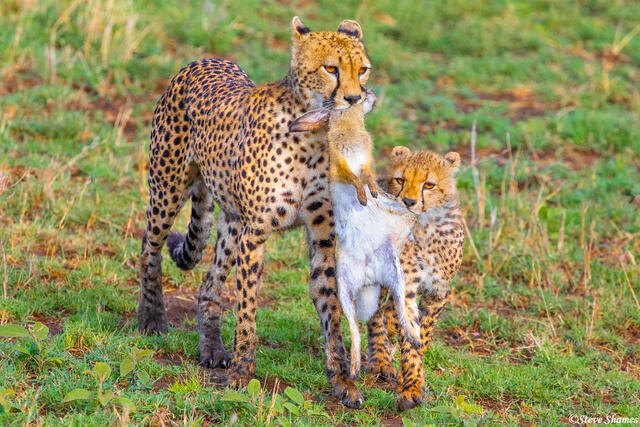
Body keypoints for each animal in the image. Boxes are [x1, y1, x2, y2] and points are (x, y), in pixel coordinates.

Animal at [136, 16, 372, 408]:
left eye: (363, 69)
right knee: (148, 248)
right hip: (167, 191)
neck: (311, 135)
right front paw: (243, 375)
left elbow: (330, 307)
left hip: (231, 222)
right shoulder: (256, 233)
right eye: (331, 68)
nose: (355, 98)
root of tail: (205, 59)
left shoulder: (322, 235)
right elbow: (247, 308)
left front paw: (341, 379)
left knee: (209, 283)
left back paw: (212, 348)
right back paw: (151, 318)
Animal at [365, 146, 465, 411]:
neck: (426, 226)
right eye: (401, 180)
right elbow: (409, 339)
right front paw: (411, 387)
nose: (408, 201)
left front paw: (409, 379)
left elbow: (423, 334)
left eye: (429, 185)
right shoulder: (406, 287)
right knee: (375, 315)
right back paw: (380, 360)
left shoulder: (438, 290)